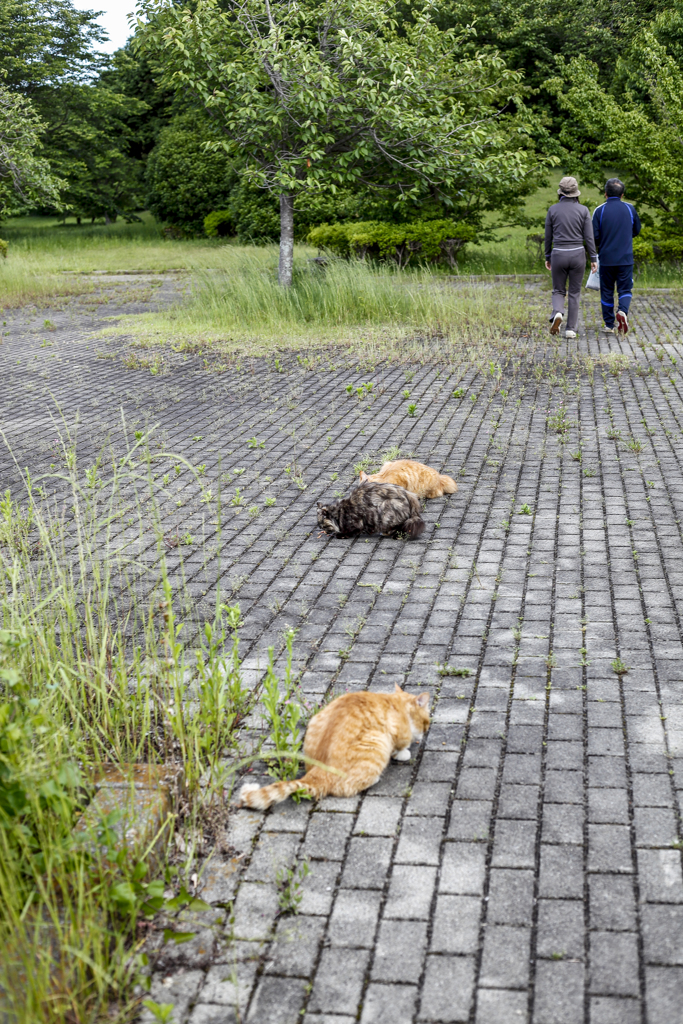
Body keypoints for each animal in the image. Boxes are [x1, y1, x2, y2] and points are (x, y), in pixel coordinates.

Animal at [239, 688, 428, 806]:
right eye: (426, 721)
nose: (426, 732)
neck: (396, 702)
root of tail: (318, 771)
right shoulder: (399, 733)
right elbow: (401, 746)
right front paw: (403, 753)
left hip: (315, 721)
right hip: (377, 741)